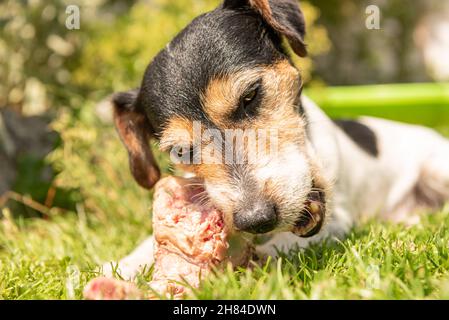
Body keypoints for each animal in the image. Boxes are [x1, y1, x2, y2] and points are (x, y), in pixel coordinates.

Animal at [103, 0, 448, 280]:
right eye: (181, 151)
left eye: (251, 95)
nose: (256, 220)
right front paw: (124, 265)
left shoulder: (338, 221)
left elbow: (274, 249)